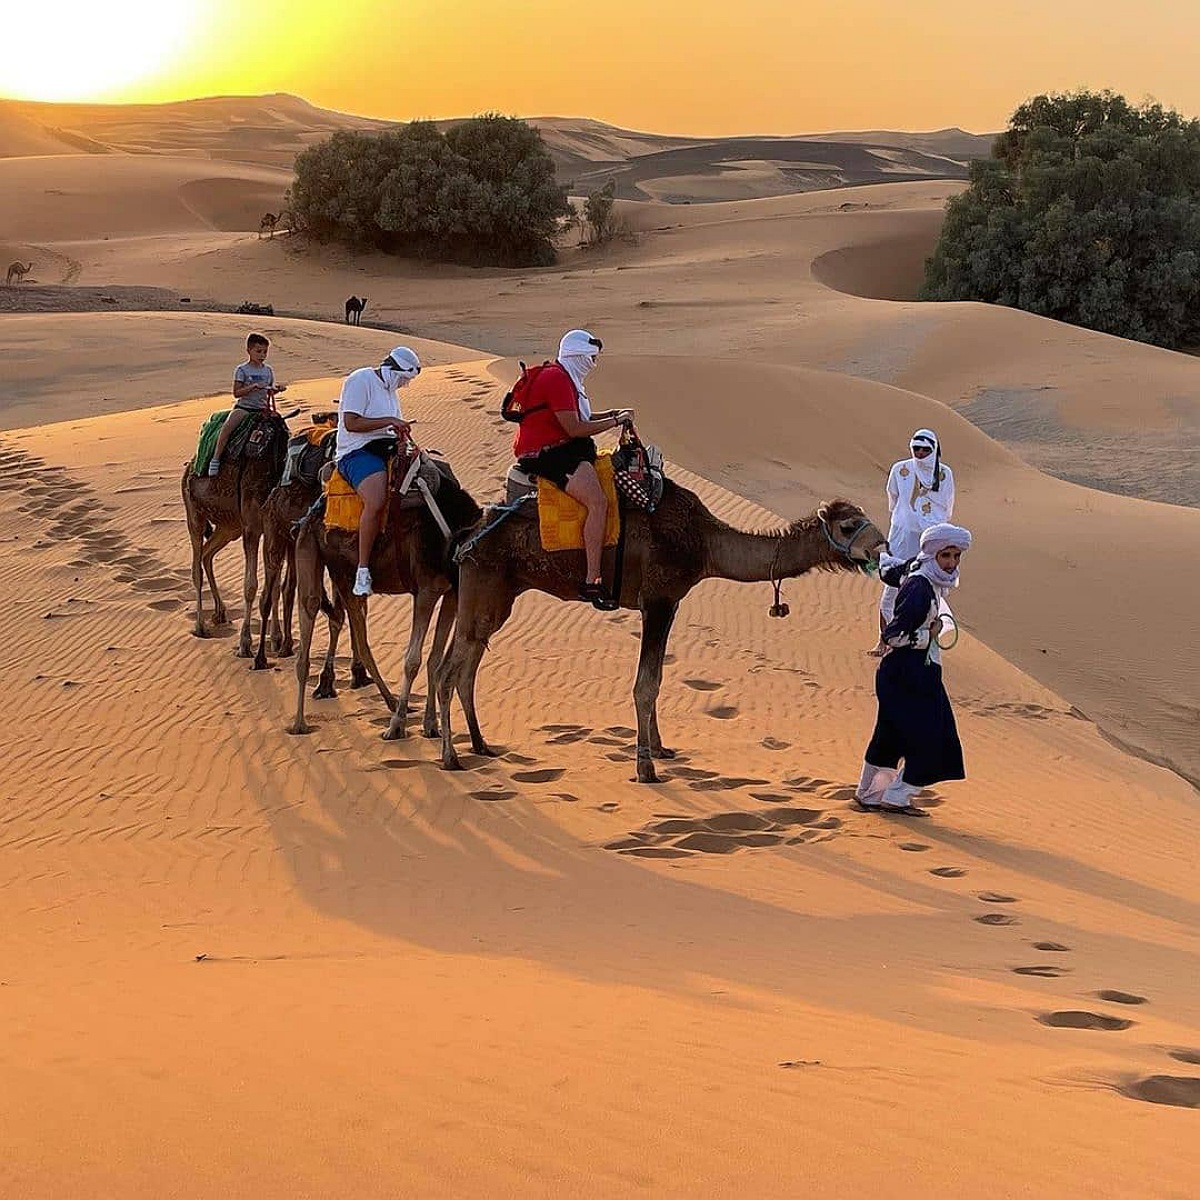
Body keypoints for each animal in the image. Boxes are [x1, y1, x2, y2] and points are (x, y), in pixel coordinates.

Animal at [181, 412, 291, 656]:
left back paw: (220, 613)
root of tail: (189, 467)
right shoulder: (252, 528)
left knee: (207, 555)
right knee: (196, 565)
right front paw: (245, 643)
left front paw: (276, 639)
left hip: (229, 526)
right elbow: (251, 586)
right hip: (194, 513)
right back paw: (200, 626)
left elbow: (275, 587)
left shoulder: (273, 531)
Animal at [288, 454, 482, 739]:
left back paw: (388, 701)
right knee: (310, 620)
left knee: (354, 632)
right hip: (311, 552)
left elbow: (435, 658)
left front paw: (430, 725)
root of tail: (311, 513)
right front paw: (396, 726)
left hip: (343, 576)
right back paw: (300, 723)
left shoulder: (450, 593)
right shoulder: (426, 591)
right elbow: (413, 660)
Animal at [437, 484, 887, 781]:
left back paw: (479, 744)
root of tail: (468, 535)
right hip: (485, 584)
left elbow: (657, 677)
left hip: (496, 593)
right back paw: (450, 757)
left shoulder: (669, 603)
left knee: (465, 665)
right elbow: (645, 683)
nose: (881, 547)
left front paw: (660, 748)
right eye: (849, 525)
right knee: (449, 671)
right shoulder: (658, 597)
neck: (704, 543)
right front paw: (645, 766)